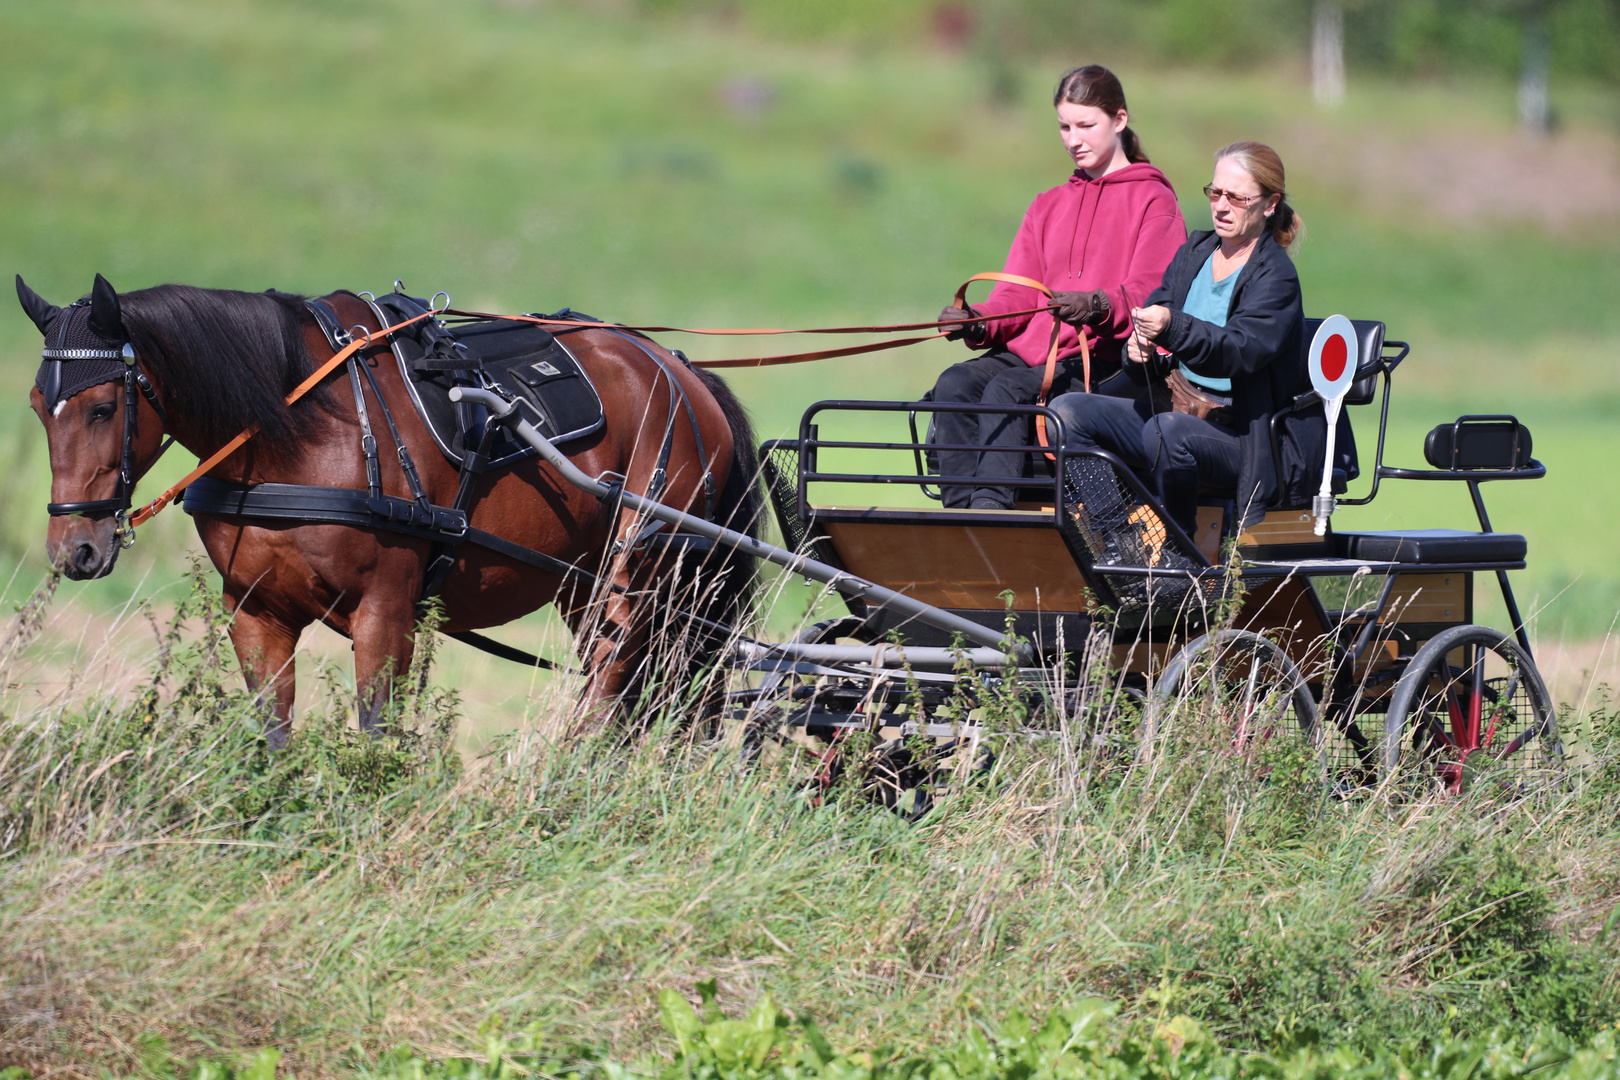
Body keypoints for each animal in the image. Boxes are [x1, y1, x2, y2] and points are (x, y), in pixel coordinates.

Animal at [20, 275, 758, 748]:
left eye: (103, 408)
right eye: (35, 405)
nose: (73, 548)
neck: (306, 429)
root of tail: (681, 371)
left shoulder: (387, 611)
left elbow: (378, 735)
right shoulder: (255, 612)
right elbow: (274, 734)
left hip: (642, 576)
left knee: (613, 692)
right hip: (591, 586)